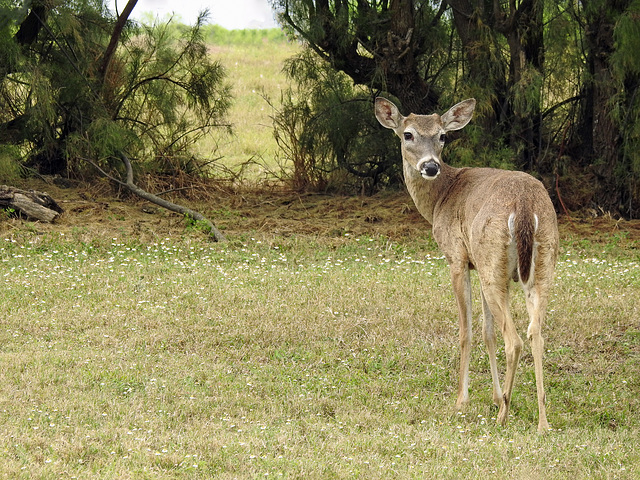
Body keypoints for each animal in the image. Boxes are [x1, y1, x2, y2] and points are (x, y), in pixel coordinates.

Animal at [372, 96, 556, 432]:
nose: (430, 166)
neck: (440, 199)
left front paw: (462, 401)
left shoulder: (457, 257)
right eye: (408, 134)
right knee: (535, 333)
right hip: (538, 264)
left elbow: (466, 332)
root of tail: (525, 207)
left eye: (443, 135)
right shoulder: (476, 264)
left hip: (493, 261)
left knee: (515, 340)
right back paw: (541, 422)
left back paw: (503, 416)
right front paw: (495, 396)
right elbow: (487, 333)